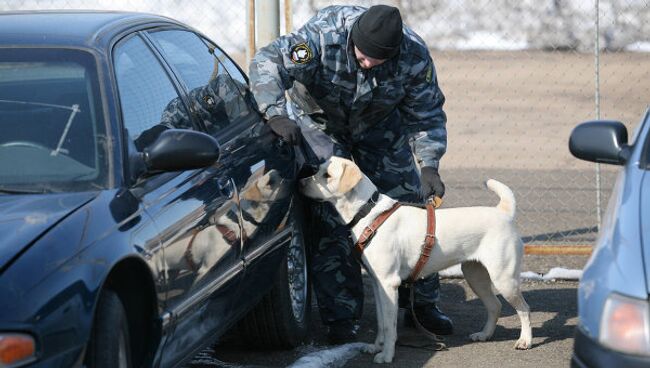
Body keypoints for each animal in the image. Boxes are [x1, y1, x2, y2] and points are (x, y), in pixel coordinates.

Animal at [296, 155, 528, 362]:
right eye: (318, 169)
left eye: (327, 175)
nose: (300, 182)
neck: (368, 213)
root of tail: (503, 212)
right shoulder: (378, 284)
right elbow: (381, 323)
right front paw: (376, 346)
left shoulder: (389, 283)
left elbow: (390, 326)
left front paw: (387, 355)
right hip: (475, 275)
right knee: (494, 305)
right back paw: (484, 335)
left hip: (504, 279)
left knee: (523, 308)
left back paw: (525, 341)